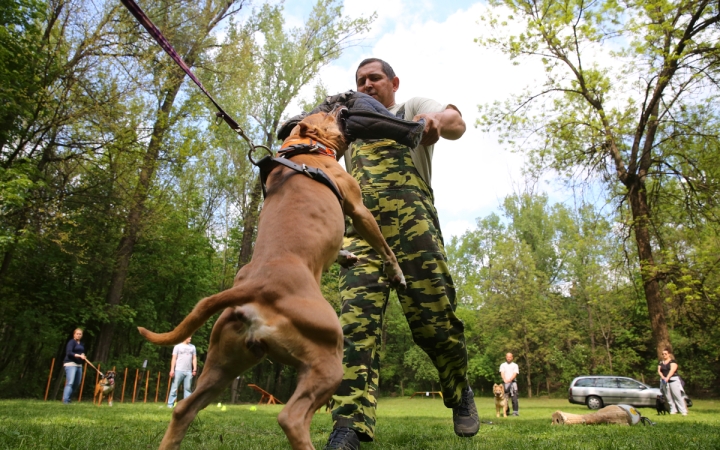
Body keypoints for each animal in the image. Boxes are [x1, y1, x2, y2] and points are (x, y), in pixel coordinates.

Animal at [136, 109, 404, 450]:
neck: (304, 150)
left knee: (184, 408)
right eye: (326, 112)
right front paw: (396, 272)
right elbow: (385, 246)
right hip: (328, 362)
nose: (342, 105)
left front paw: (345, 256)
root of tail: (256, 289)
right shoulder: (358, 209)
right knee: (291, 418)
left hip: (223, 365)